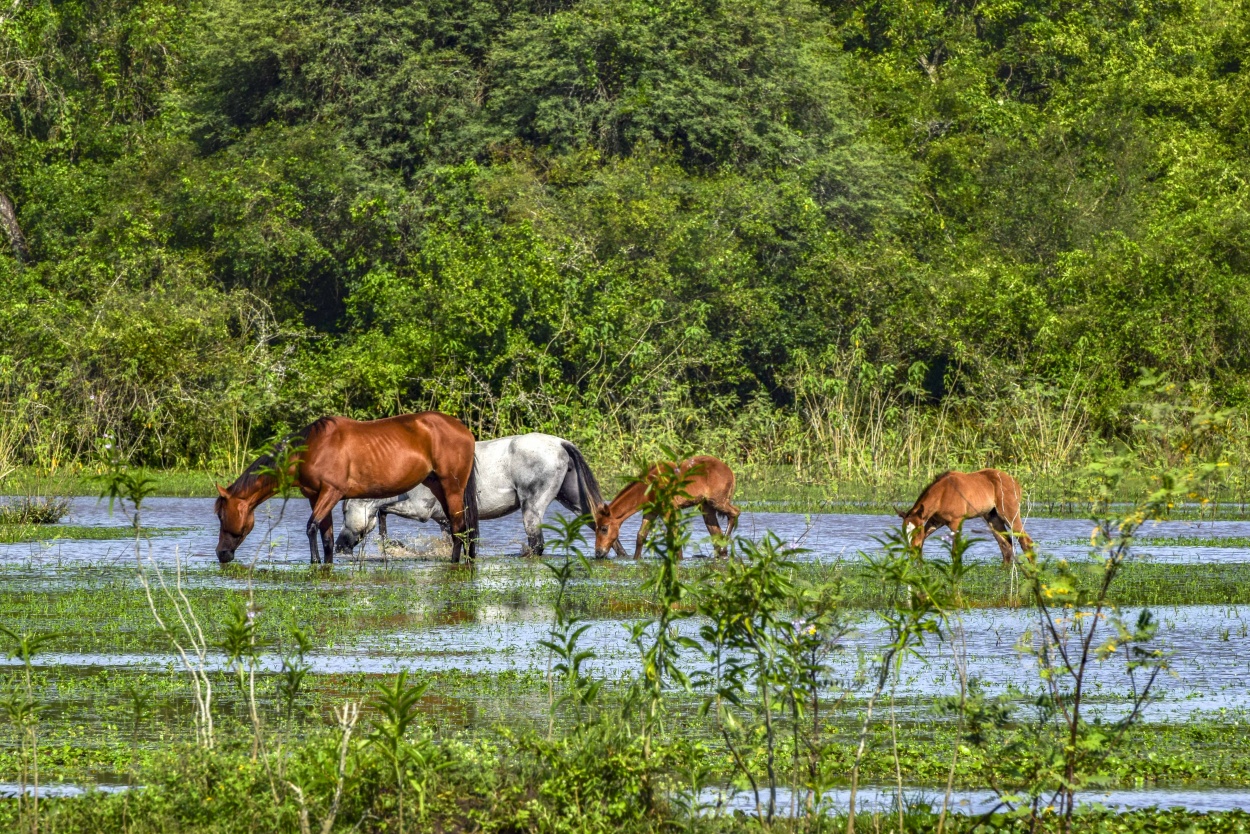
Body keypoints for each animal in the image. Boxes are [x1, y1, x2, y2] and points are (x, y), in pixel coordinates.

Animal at [215, 412, 477, 565]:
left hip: (452, 487)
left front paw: (314, 562)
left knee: (459, 527)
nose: (221, 553)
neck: (310, 449)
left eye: (220, 514)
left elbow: (311, 527)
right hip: (438, 486)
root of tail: (464, 430)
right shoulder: (315, 497)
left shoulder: (331, 493)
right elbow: (327, 538)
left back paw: (455, 562)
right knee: (466, 528)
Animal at [337, 435, 625, 557]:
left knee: (536, 543)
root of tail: (560, 443)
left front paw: (391, 543)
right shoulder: (445, 520)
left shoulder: (420, 510)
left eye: (343, 511)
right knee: (602, 525)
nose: (340, 545)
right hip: (574, 500)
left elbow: (384, 509)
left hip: (532, 508)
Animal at [590, 457, 735, 560]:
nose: (598, 553)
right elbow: (641, 536)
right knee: (715, 532)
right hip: (706, 507)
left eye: (604, 528)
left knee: (734, 513)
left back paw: (724, 547)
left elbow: (674, 535)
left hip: (717, 502)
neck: (649, 487)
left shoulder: (668, 510)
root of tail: (730, 472)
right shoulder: (651, 511)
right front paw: (636, 559)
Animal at [900, 470, 1035, 567]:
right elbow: (922, 541)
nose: (910, 551)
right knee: (1005, 544)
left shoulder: (956, 522)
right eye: (904, 532)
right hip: (992, 518)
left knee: (1025, 540)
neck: (942, 494)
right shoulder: (935, 521)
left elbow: (955, 551)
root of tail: (1016, 483)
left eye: (916, 531)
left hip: (1009, 515)